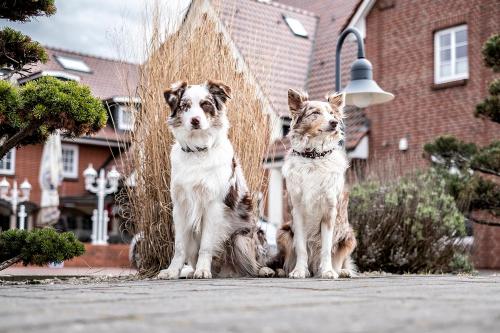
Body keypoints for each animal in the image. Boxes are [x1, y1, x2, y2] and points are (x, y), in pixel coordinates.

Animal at [157, 80, 272, 278]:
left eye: (206, 104)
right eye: (185, 106)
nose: (195, 120)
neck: (197, 151)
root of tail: (227, 272)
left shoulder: (214, 204)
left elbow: (206, 244)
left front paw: (203, 270)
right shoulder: (180, 206)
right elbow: (179, 246)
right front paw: (172, 271)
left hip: (241, 237)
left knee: (253, 265)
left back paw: (264, 270)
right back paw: (190, 271)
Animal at [274, 88, 356, 278]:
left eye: (332, 114)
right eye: (315, 113)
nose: (334, 123)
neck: (314, 156)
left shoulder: (329, 211)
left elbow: (326, 247)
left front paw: (327, 271)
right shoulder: (297, 211)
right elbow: (301, 247)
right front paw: (299, 271)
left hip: (349, 236)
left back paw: (341, 271)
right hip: (283, 232)